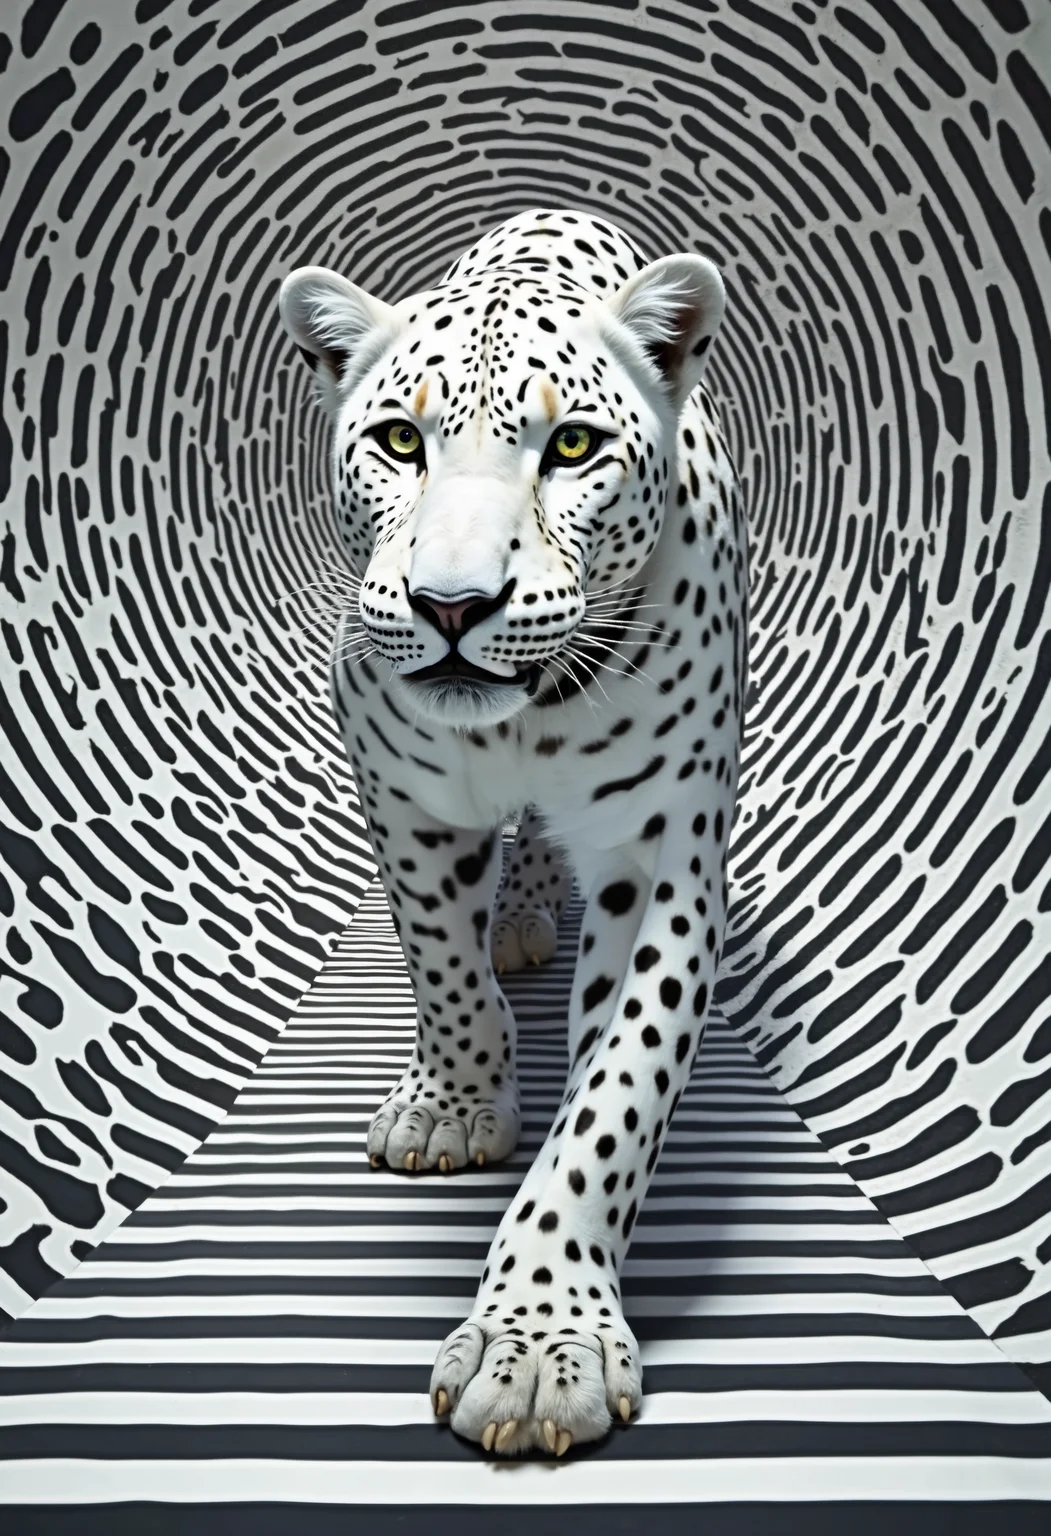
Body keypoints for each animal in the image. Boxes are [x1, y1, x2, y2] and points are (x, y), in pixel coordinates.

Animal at [279, 207, 749, 1458]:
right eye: (399, 440)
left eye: (573, 447)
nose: (451, 606)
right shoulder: (397, 787)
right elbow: (439, 966)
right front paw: (452, 1107)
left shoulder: (662, 855)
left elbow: (614, 1098)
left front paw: (539, 1345)